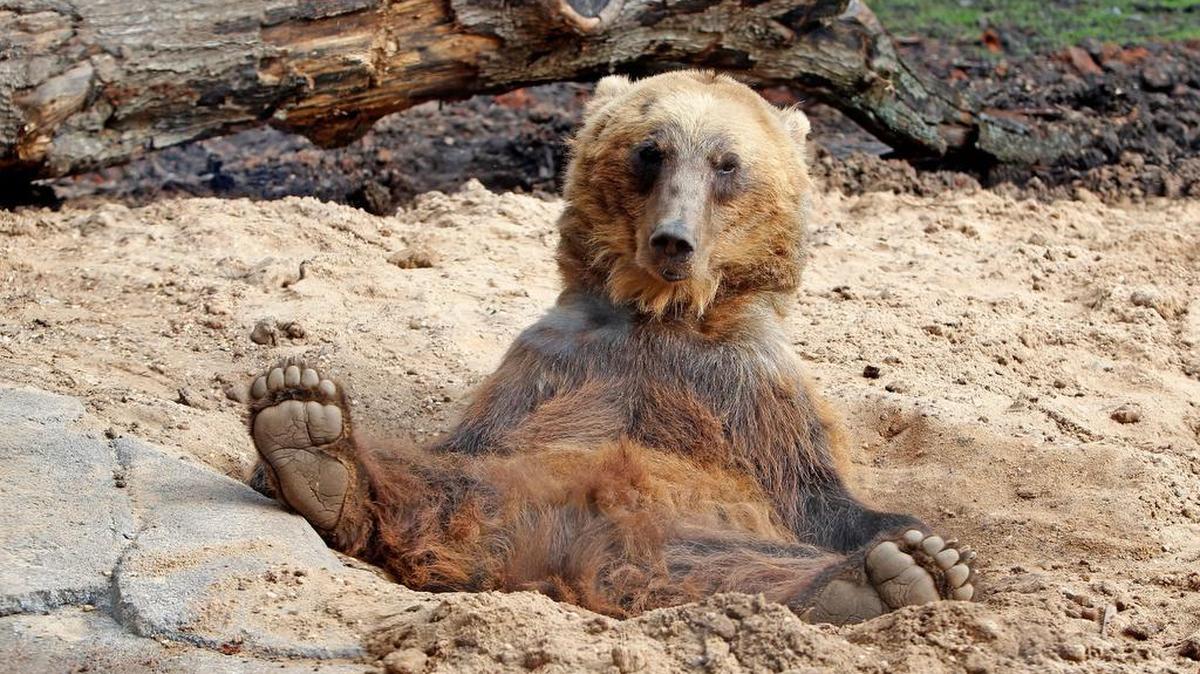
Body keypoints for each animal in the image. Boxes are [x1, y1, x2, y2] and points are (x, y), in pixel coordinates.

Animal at [242, 70, 976, 624]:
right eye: (651, 150)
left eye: (727, 163)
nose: (674, 239)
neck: (656, 315)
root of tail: (557, 560)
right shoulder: (556, 360)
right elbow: (469, 438)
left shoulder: (748, 381)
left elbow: (818, 499)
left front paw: (933, 548)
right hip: (500, 487)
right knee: (434, 480)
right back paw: (310, 439)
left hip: (700, 535)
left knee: (756, 565)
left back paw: (887, 579)